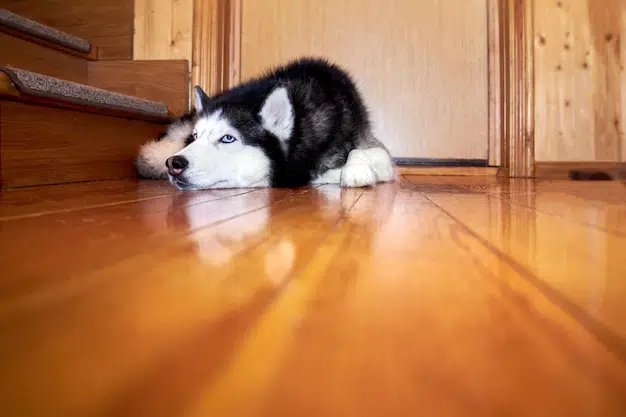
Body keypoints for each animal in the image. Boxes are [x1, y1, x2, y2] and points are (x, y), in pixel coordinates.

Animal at [135, 57, 394, 190]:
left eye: (227, 138)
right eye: (195, 137)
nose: (174, 163)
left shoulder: (377, 150)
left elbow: (359, 151)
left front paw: (356, 170)